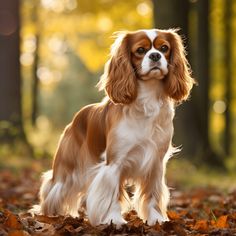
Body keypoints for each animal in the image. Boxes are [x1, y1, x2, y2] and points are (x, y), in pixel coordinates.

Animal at [33, 29, 195, 227]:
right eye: (140, 50)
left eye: (164, 48)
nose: (155, 55)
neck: (147, 100)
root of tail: (76, 118)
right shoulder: (114, 163)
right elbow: (111, 196)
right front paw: (113, 220)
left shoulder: (155, 163)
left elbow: (152, 195)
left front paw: (156, 219)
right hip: (67, 170)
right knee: (54, 188)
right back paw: (47, 216)